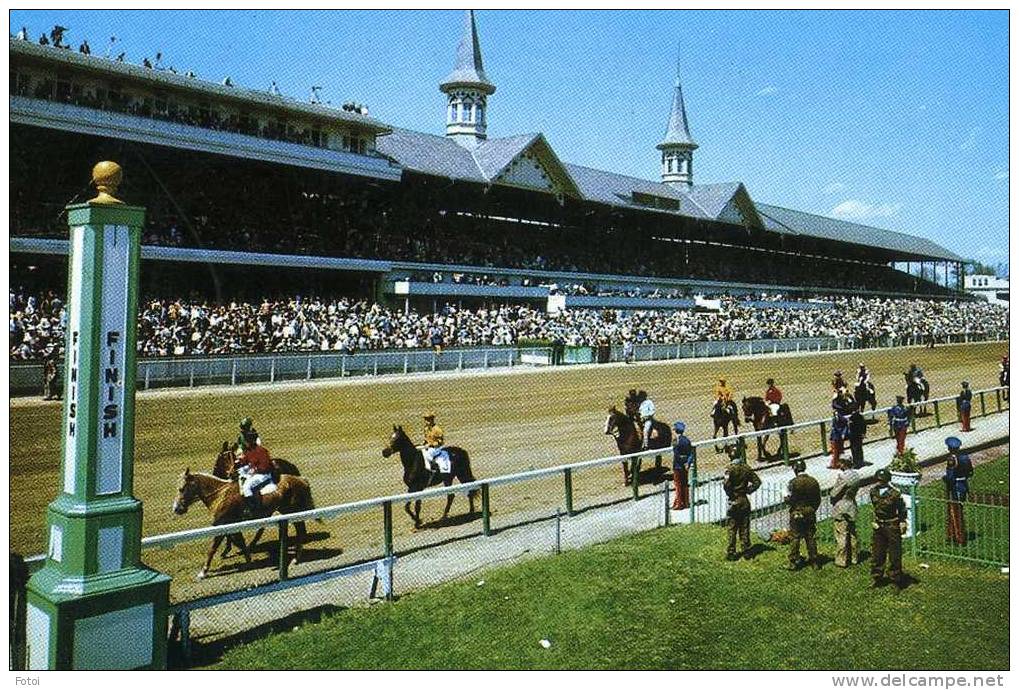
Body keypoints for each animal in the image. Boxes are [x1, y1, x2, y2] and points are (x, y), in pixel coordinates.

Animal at [173, 464, 313, 578]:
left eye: (181, 489)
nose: (176, 508)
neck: (220, 495)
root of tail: (301, 479)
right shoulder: (231, 524)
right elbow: (239, 540)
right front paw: (248, 559)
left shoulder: (221, 524)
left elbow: (213, 548)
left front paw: (203, 572)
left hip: (292, 511)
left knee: (300, 531)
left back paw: (296, 559)